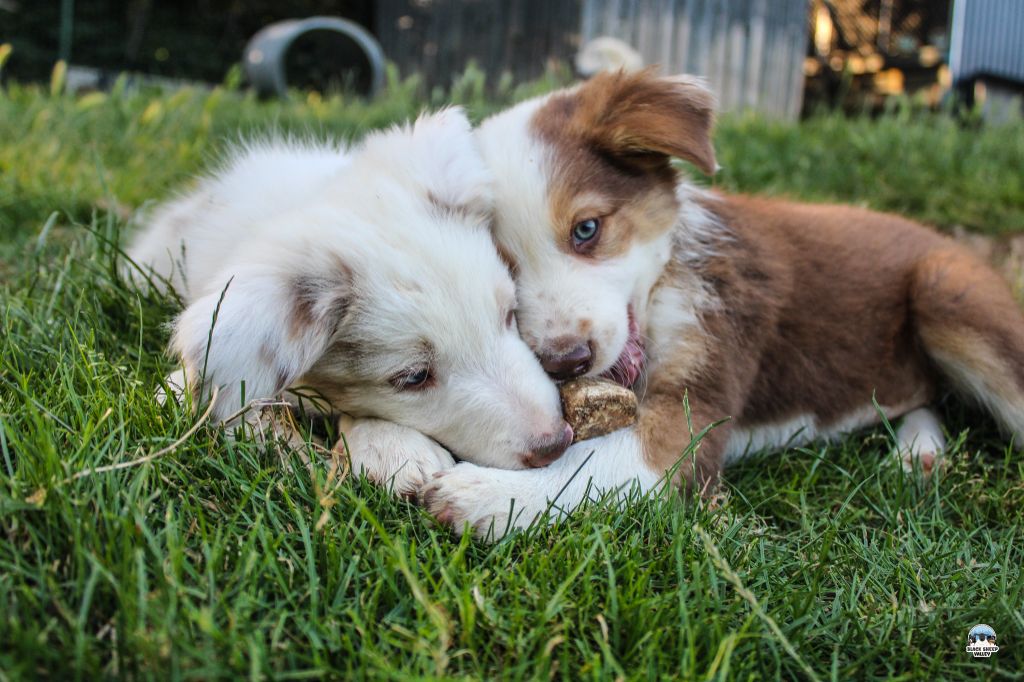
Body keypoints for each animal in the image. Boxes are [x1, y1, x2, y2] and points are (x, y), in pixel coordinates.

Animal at [419, 69, 1024, 536]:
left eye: (586, 229)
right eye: (504, 265)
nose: (566, 362)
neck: (664, 288)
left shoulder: (698, 402)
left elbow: (592, 459)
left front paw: (488, 494)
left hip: (944, 289)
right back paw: (918, 450)